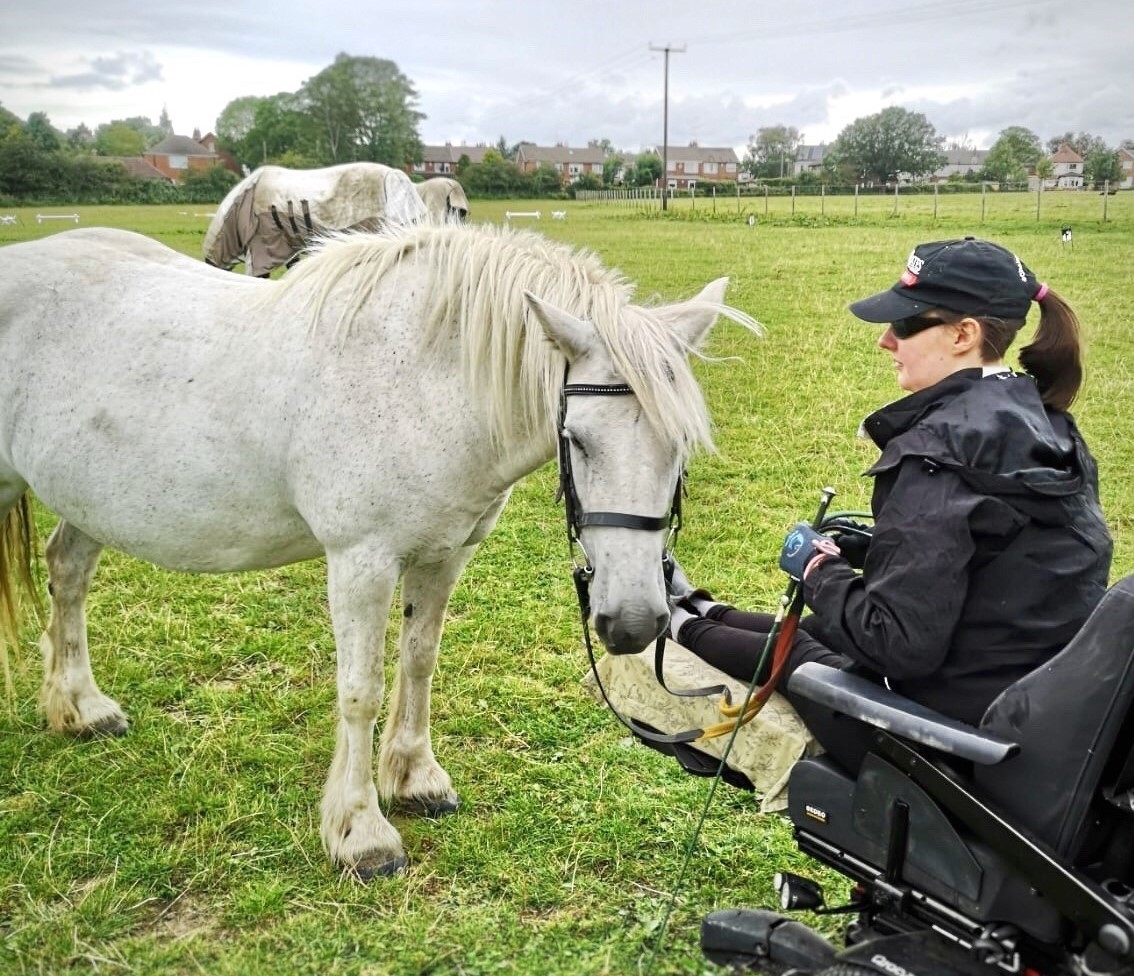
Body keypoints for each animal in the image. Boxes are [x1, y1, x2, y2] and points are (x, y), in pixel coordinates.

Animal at [0, 222, 759, 877]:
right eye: (577, 439)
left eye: (681, 446)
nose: (633, 624)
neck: (423, 381)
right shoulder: (360, 562)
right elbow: (360, 690)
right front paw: (360, 832)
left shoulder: (442, 555)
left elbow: (419, 662)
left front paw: (416, 779)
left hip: (90, 498)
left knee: (67, 572)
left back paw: (81, 708)